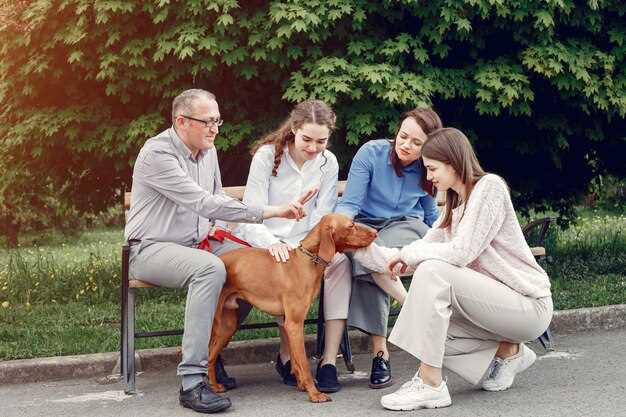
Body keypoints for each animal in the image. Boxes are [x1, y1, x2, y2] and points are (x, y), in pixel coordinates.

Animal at [208, 213, 376, 402]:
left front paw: (301, 385)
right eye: (351, 225)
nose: (375, 232)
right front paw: (314, 393)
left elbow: (296, 361)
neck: (307, 260)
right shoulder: (295, 324)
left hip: (227, 326)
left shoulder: (289, 323)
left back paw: (214, 385)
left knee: (210, 355)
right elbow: (303, 362)